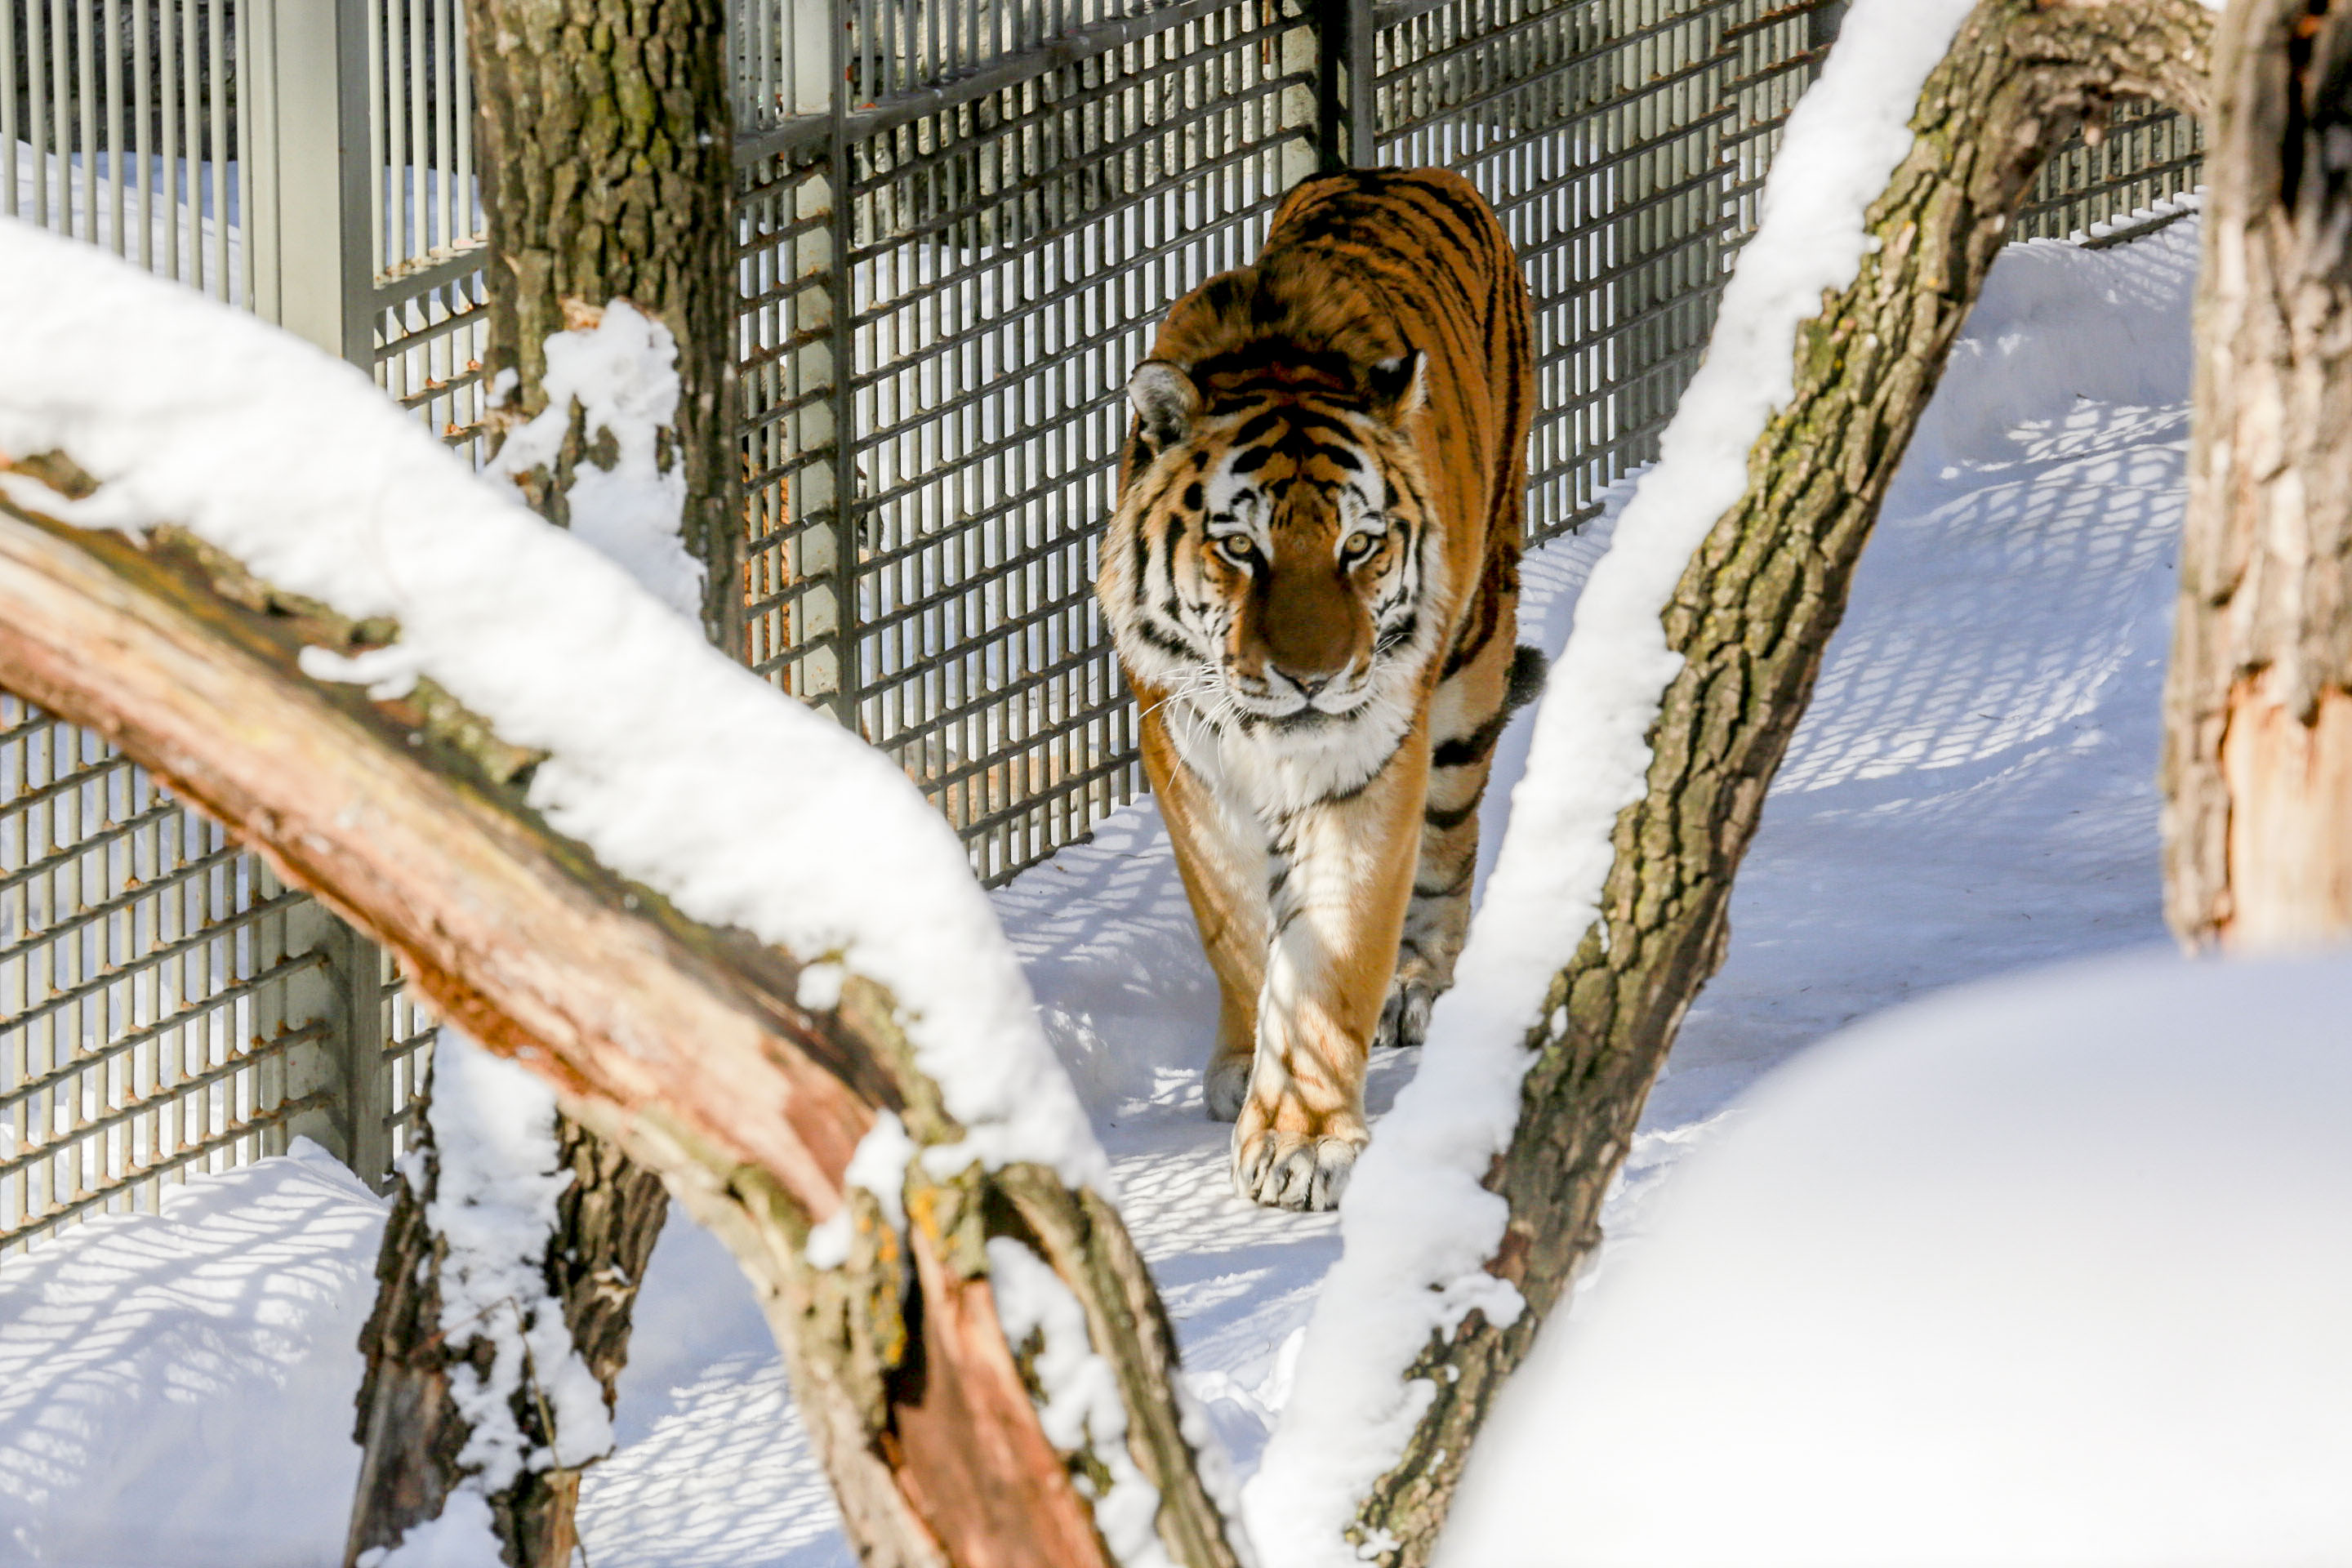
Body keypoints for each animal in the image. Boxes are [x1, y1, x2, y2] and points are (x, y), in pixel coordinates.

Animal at [1096, 168, 1543, 1211]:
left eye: (1359, 546)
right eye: (1239, 549)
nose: (1312, 678)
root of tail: (1416, 171)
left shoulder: (1367, 762)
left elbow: (1332, 946)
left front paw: (1302, 1141)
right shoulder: (1180, 750)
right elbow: (1233, 926)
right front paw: (1243, 1063)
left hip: (1472, 668)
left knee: (1450, 844)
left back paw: (1418, 981)